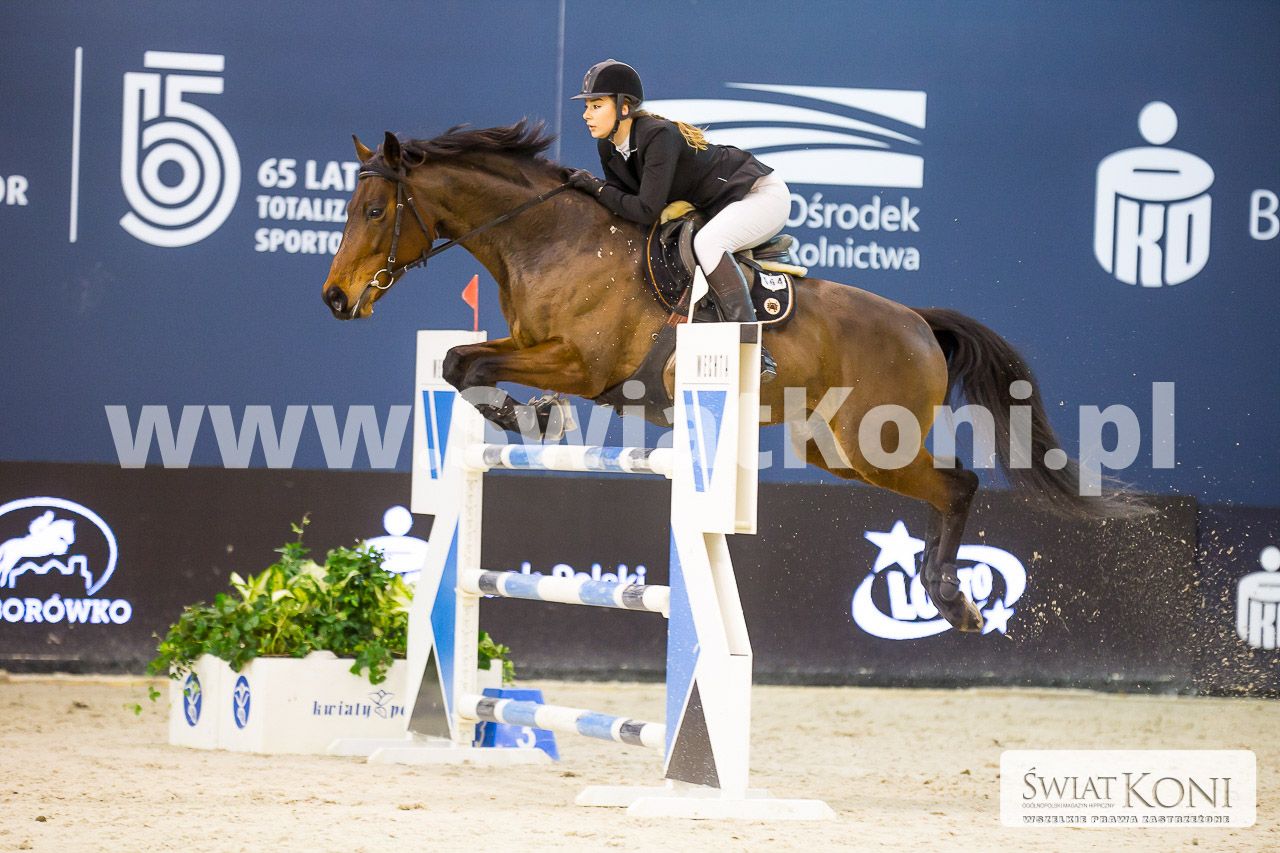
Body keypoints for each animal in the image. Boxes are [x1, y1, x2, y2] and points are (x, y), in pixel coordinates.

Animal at [321, 120, 1140, 634]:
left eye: (374, 209)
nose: (334, 299)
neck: (550, 239)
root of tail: (917, 321)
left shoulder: (581, 363)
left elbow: (469, 363)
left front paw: (526, 416)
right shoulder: (530, 344)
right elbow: (457, 361)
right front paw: (528, 416)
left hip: (875, 442)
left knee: (959, 483)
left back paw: (952, 600)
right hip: (835, 451)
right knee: (942, 487)